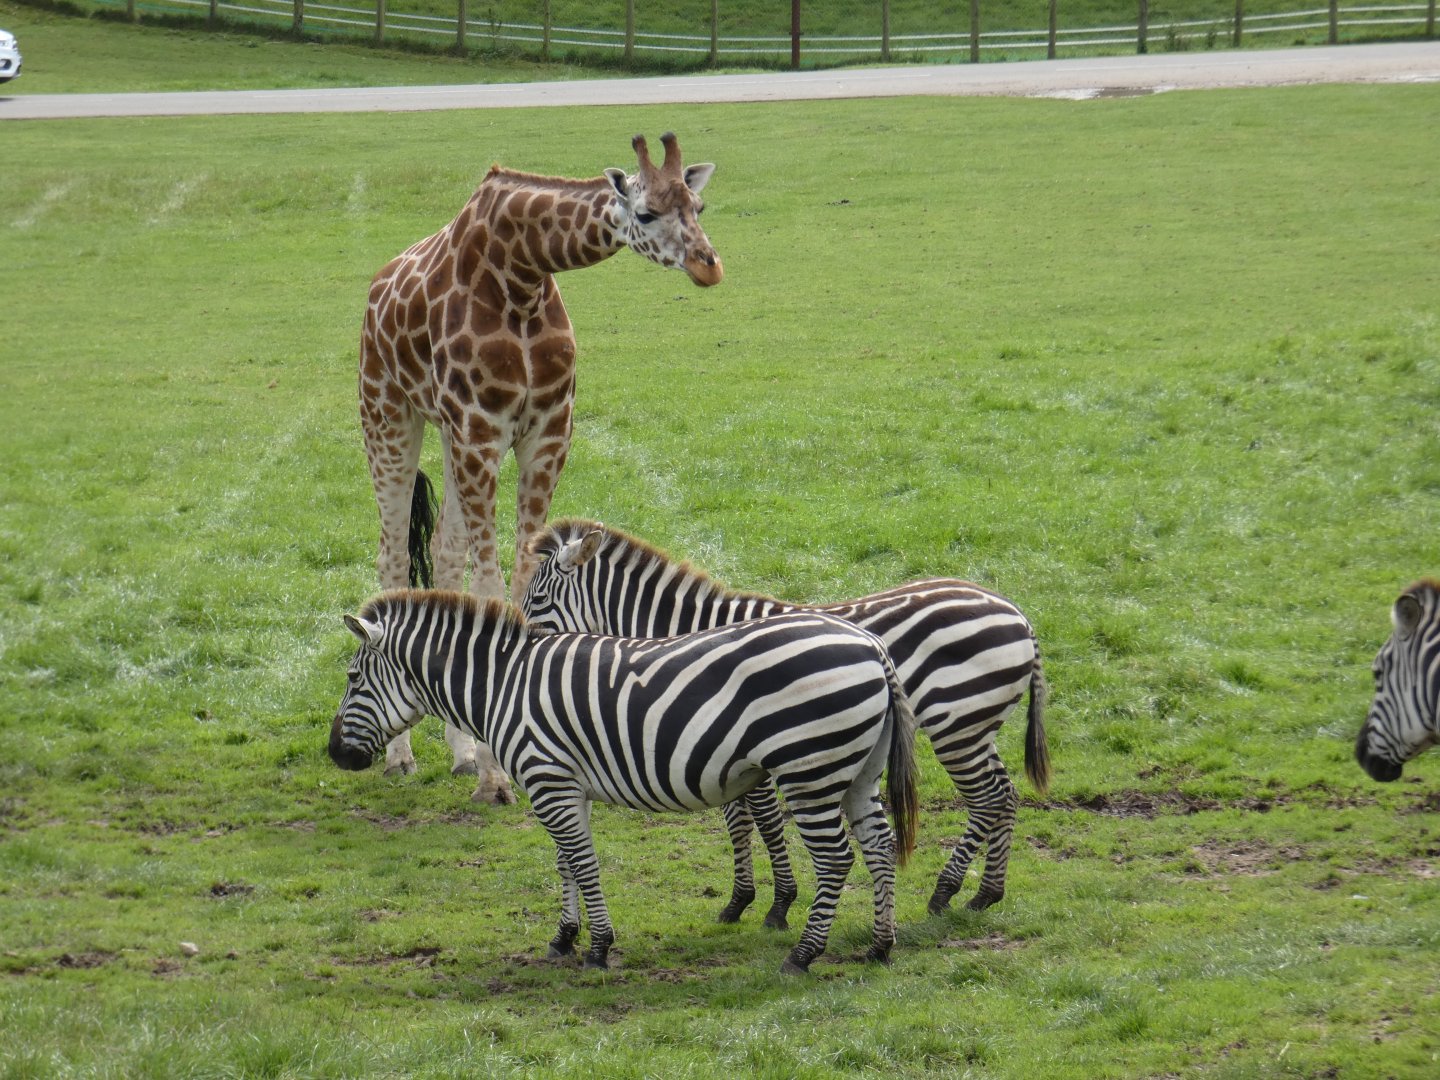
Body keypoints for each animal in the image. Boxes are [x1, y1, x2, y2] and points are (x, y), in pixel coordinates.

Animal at [328, 590, 920, 975]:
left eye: (353, 678)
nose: (334, 755)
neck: (504, 686)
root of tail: (871, 645)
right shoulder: (564, 784)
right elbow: (564, 863)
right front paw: (564, 938)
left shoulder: (548, 781)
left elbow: (583, 862)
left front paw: (598, 948)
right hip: (858, 770)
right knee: (880, 845)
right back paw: (880, 947)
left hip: (809, 770)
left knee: (836, 859)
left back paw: (803, 956)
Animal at [358, 132, 722, 802]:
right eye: (646, 213)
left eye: (698, 207)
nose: (709, 265)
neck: (521, 272)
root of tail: (375, 291)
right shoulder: (481, 430)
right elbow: (491, 583)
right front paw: (496, 776)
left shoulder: (548, 432)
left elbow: (524, 569)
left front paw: (495, 750)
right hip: (389, 414)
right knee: (393, 555)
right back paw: (400, 757)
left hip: (446, 435)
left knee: (443, 551)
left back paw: (458, 753)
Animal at [519, 520, 1050, 922]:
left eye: (537, 602)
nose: (526, 659)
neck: (685, 634)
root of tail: (1017, 613)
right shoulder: (724, 747)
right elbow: (739, 821)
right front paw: (746, 899)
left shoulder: (740, 744)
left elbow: (761, 821)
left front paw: (773, 903)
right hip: (977, 727)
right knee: (1005, 793)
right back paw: (986, 893)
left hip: (956, 724)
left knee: (986, 799)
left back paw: (946, 891)